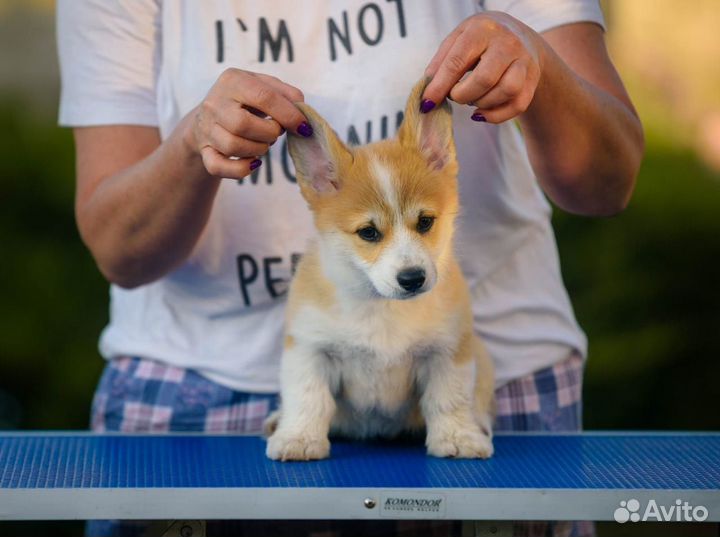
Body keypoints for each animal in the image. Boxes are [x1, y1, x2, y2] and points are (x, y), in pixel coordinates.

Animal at [264, 78, 496, 460]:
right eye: (369, 233)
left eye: (425, 222)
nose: (412, 279)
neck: (381, 306)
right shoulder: (310, 349)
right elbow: (308, 398)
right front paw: (299, 439)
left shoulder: (447, 352)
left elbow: (449, 399)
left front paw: (458, 438)